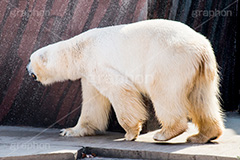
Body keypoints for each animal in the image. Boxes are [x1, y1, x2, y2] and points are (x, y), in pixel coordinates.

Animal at [27, 19, 224, 143]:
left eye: (30, 60)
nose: (27, 70)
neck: (79, 49)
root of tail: (202, 47)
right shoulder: (88, 74)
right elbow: (93, 102)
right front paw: (70, 130)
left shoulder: (97, 62)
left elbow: (120, 89)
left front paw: (130, 133)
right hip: (202, 70)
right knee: (201, 98)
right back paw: (204, 135)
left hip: (169, 59)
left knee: (163, 91)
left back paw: (165, 133)